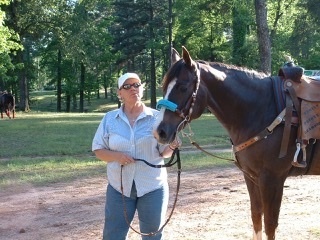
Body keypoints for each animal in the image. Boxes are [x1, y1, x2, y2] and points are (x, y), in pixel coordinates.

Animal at [153, 46, 320, 239]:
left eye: (183, 87)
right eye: (164, 87)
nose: (160, 131)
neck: (262, 109)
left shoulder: (272, 179)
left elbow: (270, 224)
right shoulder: (251, 177)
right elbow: (256, 217)